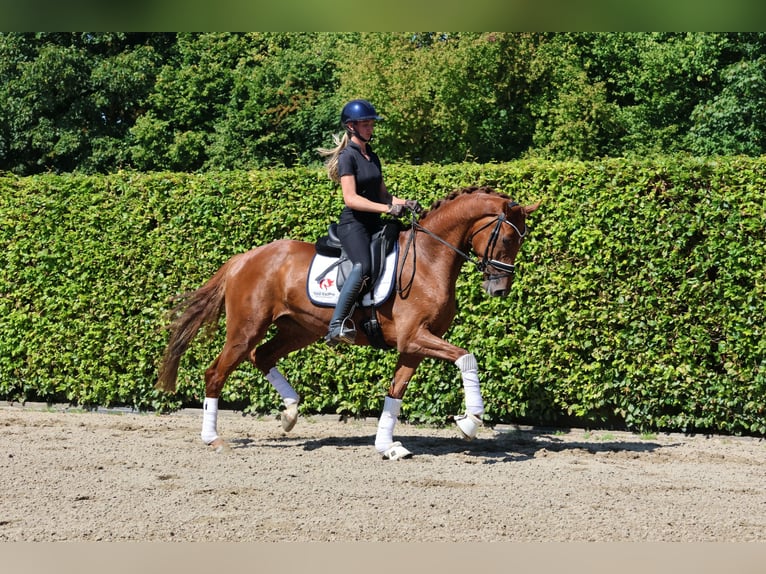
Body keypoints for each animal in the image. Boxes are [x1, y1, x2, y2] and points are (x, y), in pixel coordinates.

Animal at [156, 185, 539, 459]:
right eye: (507, 238)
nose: (500, 289)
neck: (431, 259)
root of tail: (242, 259)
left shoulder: (414, 345)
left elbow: (395, 392)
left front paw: (388, 446)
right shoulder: (415, 337)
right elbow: (466, 357)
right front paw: (470, 422)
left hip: (299, 329)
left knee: (262, 356)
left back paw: (290, 414)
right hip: (246, 329)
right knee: (215, 373)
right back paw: (214, 438)